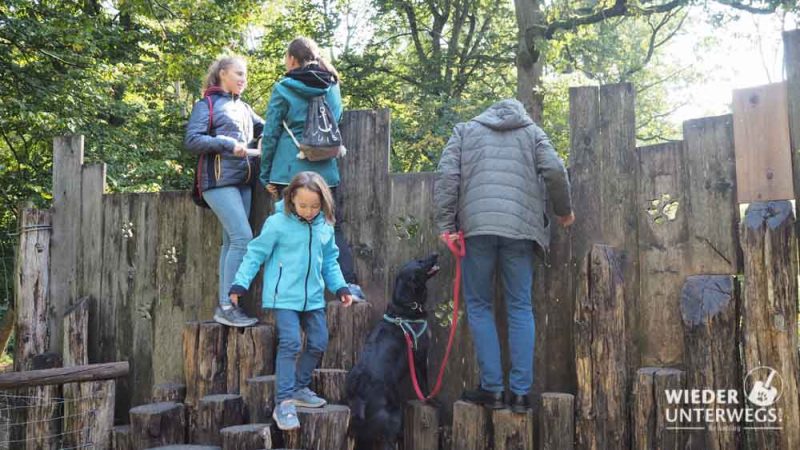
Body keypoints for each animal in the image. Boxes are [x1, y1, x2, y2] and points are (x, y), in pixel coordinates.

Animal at [346, 255, 440, 448]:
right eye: (420, 262)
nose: (435, 254)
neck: (406, 306)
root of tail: (359, 395)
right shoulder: (420, 356)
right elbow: (424, 384)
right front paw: (429, 400)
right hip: (394, 417)